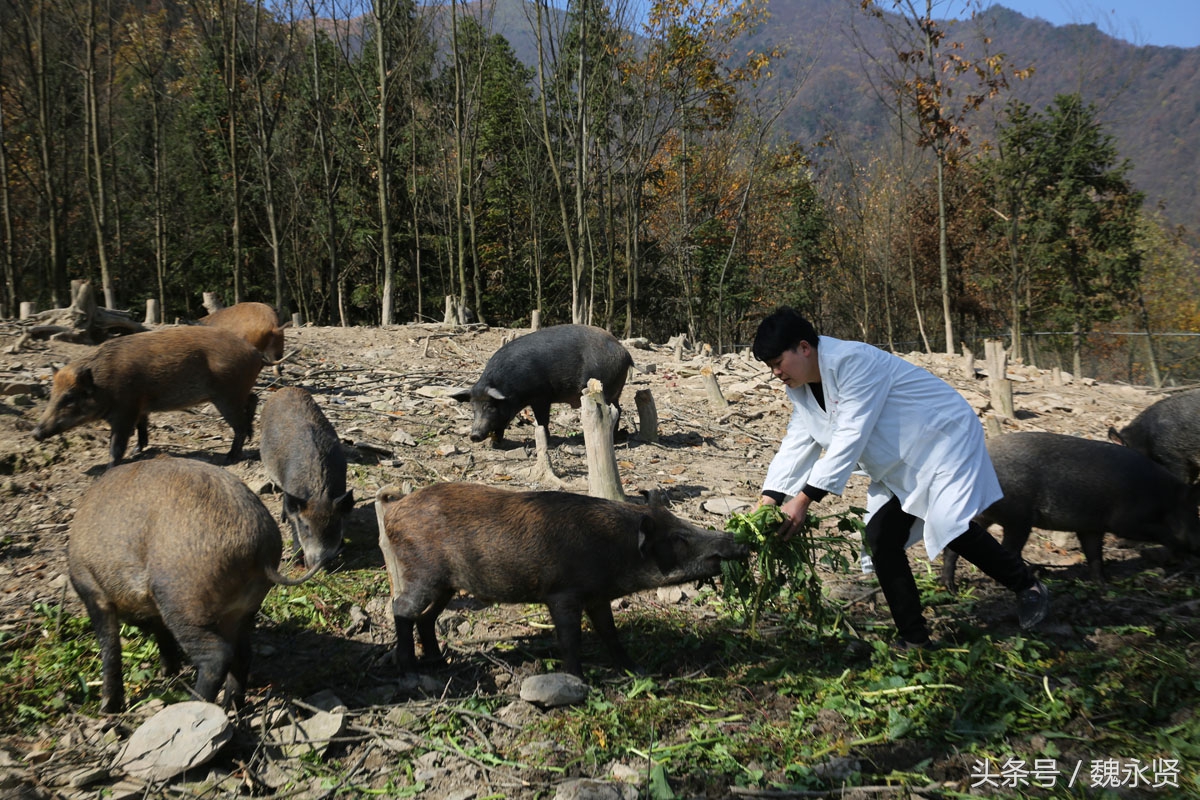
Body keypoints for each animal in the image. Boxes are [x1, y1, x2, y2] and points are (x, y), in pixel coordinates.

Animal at [33, 326, 265, 465]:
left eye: (70, 397)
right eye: (52, 395)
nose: (35, 433)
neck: (105, 385)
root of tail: (256, 353)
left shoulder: (126, 410)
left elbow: (117, 443)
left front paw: (111, 466)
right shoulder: (140, 406)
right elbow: (142, 428)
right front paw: (137, 451)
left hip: (227, 396)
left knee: (240, 425)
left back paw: (229, 458)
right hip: (237, 392)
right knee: (253, 399)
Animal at [260, 386, 352, 568]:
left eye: (333, 526)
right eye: (306, 526)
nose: (318, 564)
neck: (319, 494)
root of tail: (284, 389)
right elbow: (294, 527)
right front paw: (296, 562)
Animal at [374, 482, 748, 676]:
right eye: (678, 538)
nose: (736, 540)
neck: (612, 546)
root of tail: (395, 508)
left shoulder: (598, 596)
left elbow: (610, 633)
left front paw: (637, 671)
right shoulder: (562, 594)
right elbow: (571, 639)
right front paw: (579, 681)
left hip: (447, 584)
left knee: (427, 618)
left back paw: (437, 661)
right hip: (423, 572)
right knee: (402, 608)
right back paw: (410, 669)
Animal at [451, 326, 638, 450]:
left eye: (490, 407)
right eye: (472, 407)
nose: (474, 435)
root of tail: (626, 353)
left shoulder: (541, 397)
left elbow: (542, 420)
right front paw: (494, 444)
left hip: (606, 388)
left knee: (615, 410)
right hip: (614, 391)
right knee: (618, 409)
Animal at [945, 431, 1200, 587]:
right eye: (1192, 513)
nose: (1195, 547)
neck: (1163, 497)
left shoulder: (1091, 527)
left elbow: (1094, 554)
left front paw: (1104, 584)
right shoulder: (1125, 521)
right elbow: (1160, 533)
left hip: (981, 516)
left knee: (954, 549)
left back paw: (950, 588)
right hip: (1017, 518)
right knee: (1008, 551)